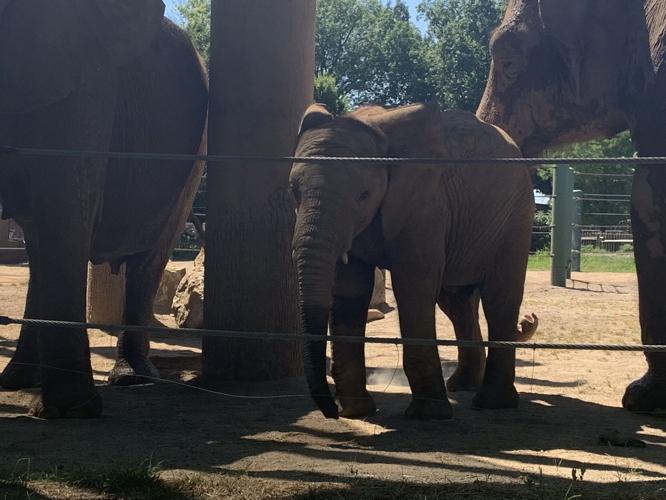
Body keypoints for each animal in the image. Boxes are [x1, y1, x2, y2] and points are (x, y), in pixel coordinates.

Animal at [0, 0, 208, 418]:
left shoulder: (85, 80)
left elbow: (65, 205)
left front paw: (70, 412)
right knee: (38, 247)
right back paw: (15, 380)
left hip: (194, 159)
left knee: (147, 260)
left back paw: (130, 379)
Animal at [290, 103, 536, 420]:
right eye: (294, 191)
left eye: (363, 196)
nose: (330, 411)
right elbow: (350, 291)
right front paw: (357, 412)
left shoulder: (426, 205)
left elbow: (413, 286)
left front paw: (428, 415)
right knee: (456, 303)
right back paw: (462, 387)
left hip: (515, 215)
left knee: (499, 298)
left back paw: (492, 403)